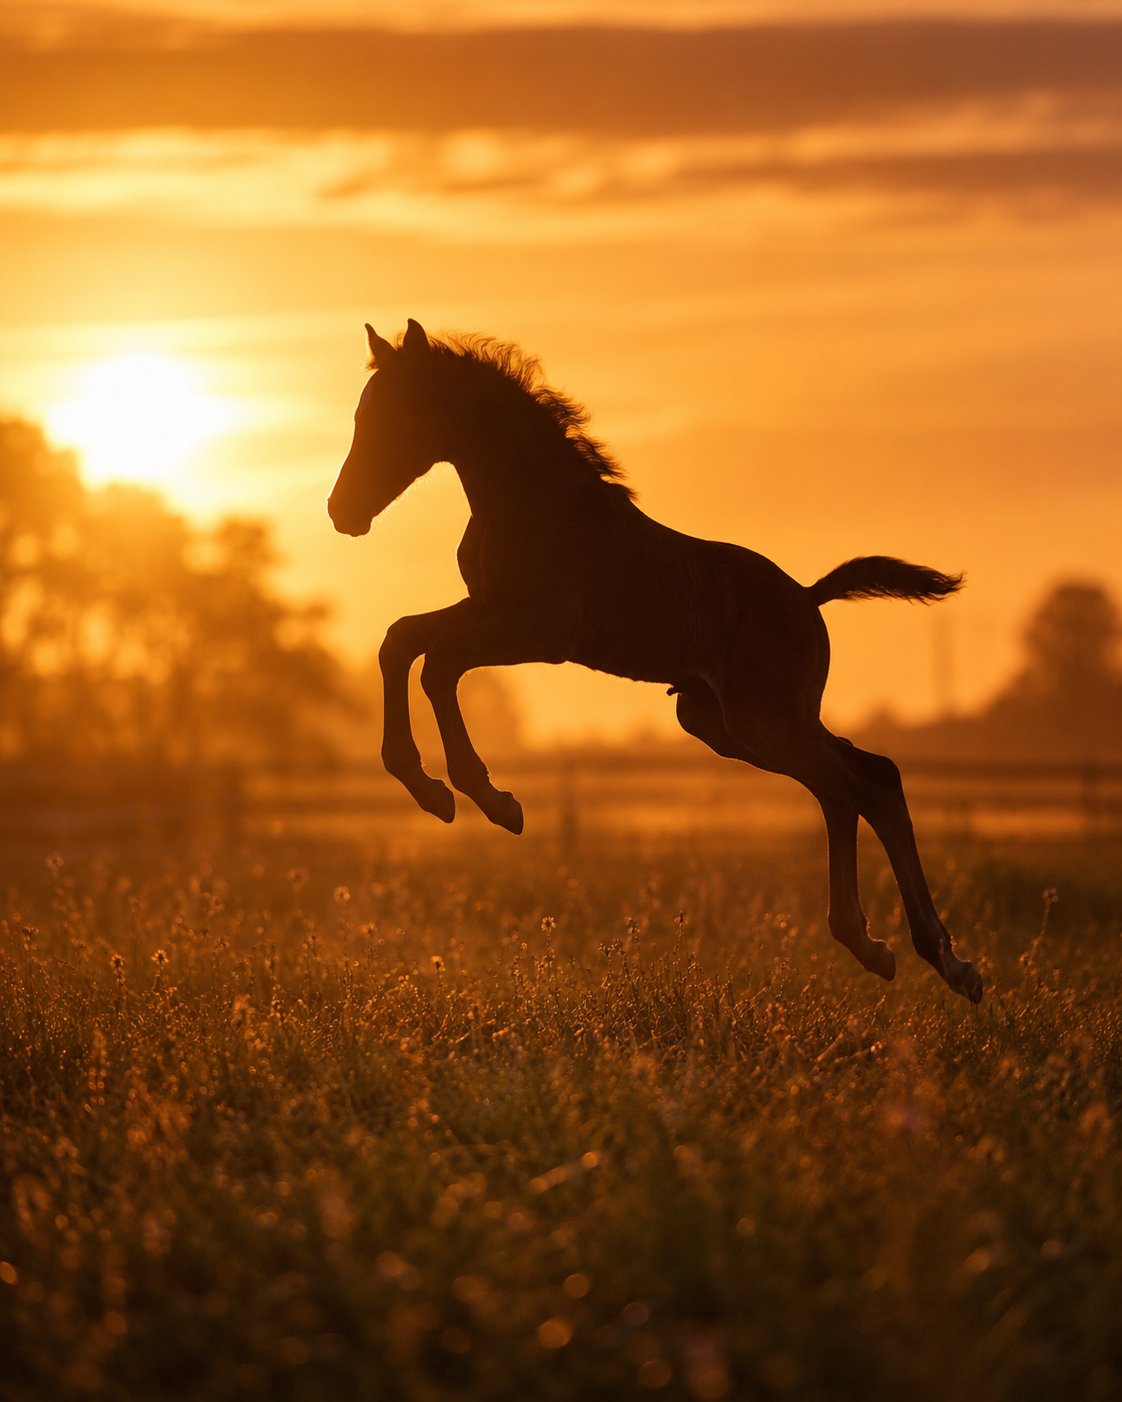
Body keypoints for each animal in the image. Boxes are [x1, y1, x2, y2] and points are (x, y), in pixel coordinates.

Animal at [328, 320, 983, 1005]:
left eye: (398, 420)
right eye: (361, 417)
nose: (342, 511)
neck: (533, 502)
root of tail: (807, 595)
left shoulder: (538, 632)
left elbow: (439, 663)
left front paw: (488, 797)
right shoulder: (486, 608)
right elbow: (401, 640)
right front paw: (426, 785)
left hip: (763, 721)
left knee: (861, 783)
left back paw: (929, 956)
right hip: (724, 724)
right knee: (857, 781)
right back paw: (898, 950)